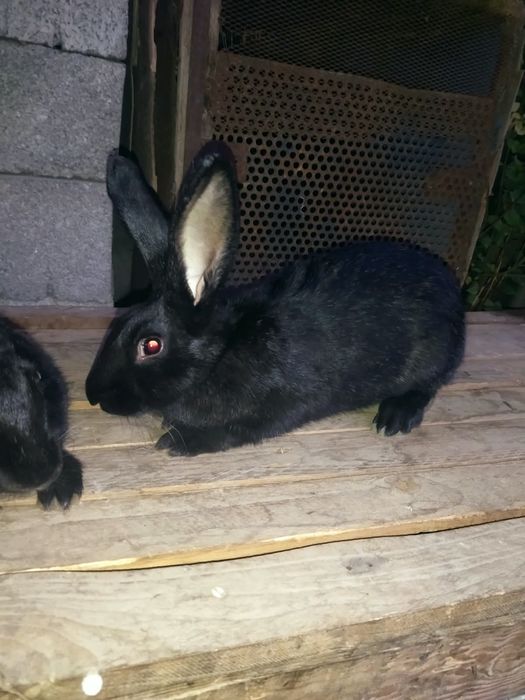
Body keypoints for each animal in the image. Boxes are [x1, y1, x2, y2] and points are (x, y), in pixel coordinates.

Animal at [85, 141, 465, 457]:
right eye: (118, 322)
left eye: (151, 345)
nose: (93, 395)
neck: (221, 354)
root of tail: (449, 287)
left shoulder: (281, 407)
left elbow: (236, 431)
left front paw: (181, 441)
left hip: (432, 355)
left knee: (429, 384)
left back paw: (395, 416)